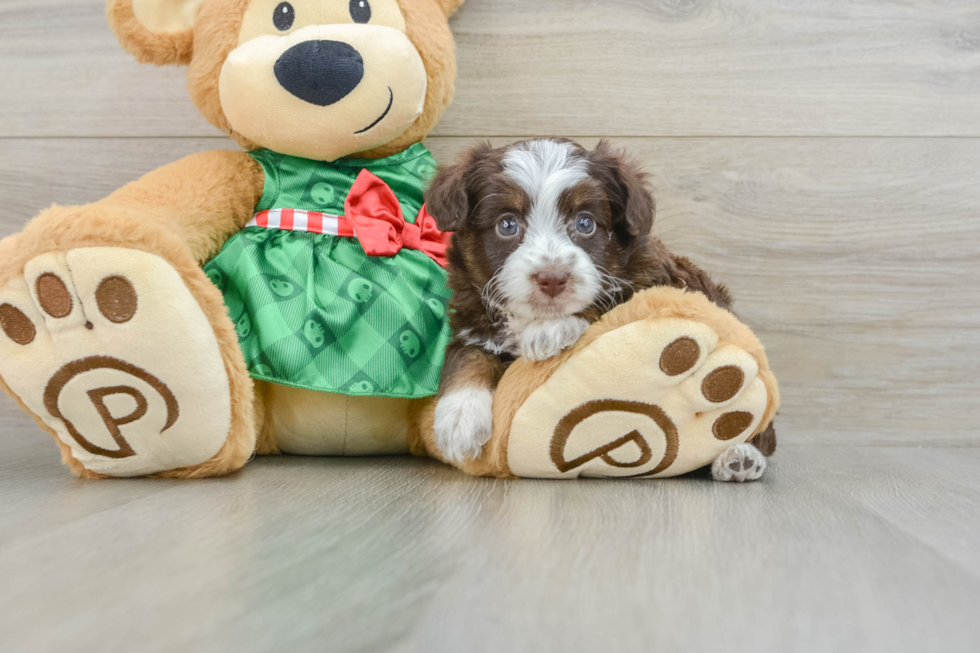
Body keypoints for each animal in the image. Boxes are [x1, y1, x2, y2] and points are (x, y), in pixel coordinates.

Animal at [424, 139, 776, 478]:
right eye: (507, 225)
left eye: (585, 223)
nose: (552, 278)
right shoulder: (472, 319)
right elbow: (467, 356)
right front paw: (458, 419)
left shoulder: (652, 281)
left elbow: (605, 306)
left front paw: (552, 330)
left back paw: (740, 457)